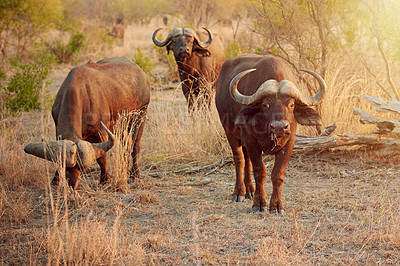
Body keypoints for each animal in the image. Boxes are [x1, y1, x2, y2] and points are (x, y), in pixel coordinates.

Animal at [24, 56, 151, 189]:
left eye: (81, 169)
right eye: (67, 169)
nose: (73, 186)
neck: (80, 91)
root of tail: (141, 72)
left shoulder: (101, 132)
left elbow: (102, 158)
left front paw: (105, 179)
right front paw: (55, 180)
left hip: (140, 116)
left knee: (135, 145)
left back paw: (134, 175)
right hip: (120, 124)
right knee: (126, 143)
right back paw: (126, 171)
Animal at [216, 54, 324, 214]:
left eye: (291, 104)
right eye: (265, 104)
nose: (279, 127)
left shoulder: (289, 143)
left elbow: (277, 174)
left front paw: (277, 205)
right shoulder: (251, 140)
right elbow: (260, 171)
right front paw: (259, 203)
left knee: (246, 159)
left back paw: (249, 190)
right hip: (230, 132)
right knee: (239, 159)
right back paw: (239, 192)